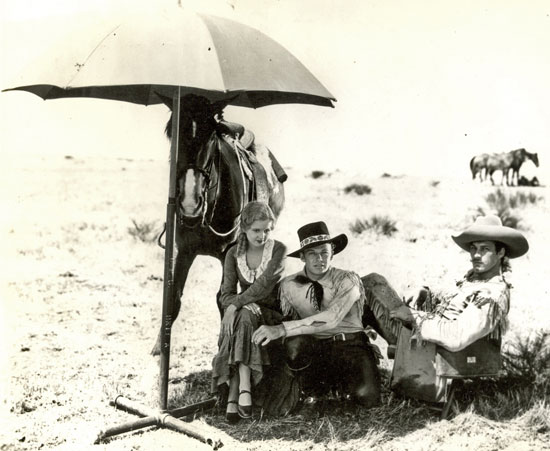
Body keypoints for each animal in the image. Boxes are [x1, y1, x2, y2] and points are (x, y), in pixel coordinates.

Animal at [152, 94, 286, 356]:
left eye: (210, 138)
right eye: (172, 134)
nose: (190, 205)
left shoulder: (229, 254)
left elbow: (225, 299)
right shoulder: (185, 250)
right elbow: (174, 298)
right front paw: (160, 346)